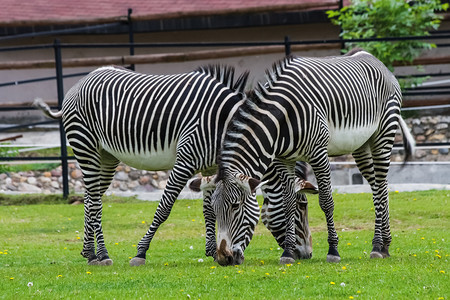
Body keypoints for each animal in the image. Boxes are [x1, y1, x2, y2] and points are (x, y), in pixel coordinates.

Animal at [33, 65, 256, 264]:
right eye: (238, 207)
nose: (230, 258)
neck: (220, 121)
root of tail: (81, 82)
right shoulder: (185, 160)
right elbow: (164, 208)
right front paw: (141, 251)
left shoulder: (211, 166)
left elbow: (208, 209)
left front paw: (211, 251)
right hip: (85, 147)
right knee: (95, 202)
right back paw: (103, 255)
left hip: (106, 157)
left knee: (89, 198)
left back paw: (89, 253)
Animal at [207, 49, 414, 264]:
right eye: (213, 208)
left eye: (235, 206)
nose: (223, 258)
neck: (282, 118)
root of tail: (373, 58)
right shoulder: (283, 160)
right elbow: (288, 203)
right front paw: (288, 252)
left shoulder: (318, 154)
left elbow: (326, 202)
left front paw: (333, 250)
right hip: (361, 146)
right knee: (378, 187)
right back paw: (384, 244)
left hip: (383, 135)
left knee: (380, 187)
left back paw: (378, 246)